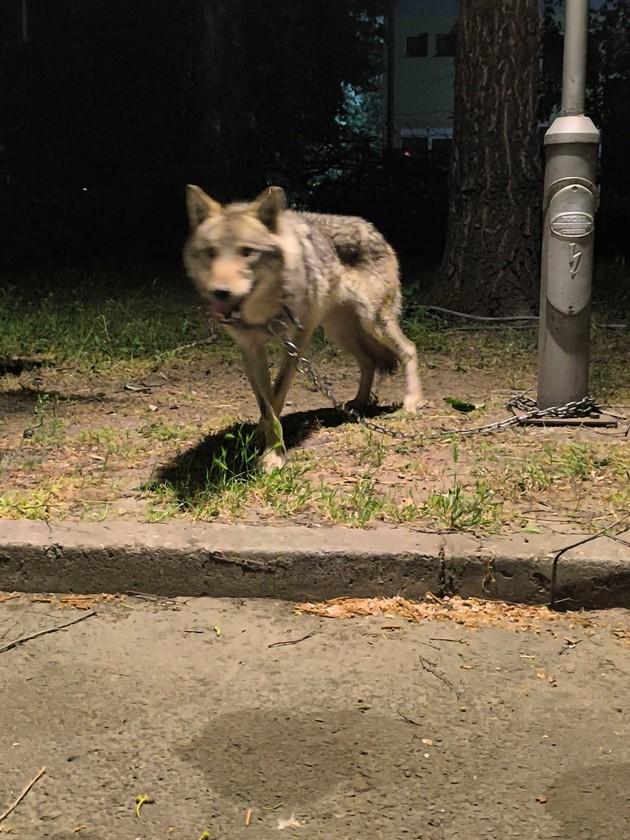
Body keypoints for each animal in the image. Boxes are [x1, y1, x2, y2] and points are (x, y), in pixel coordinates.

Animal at [183, 185, 423, 472]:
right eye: (211, 253)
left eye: (246, 251)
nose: (220, 292)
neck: (266, 309)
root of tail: (372, 228)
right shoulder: (251, 349)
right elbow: (266, 405)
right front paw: (261, 438)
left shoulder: (296, 342)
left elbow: (277, 397)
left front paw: (273, 455)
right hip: (339, 332)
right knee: (369, 362)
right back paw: (359, 403)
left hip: (373, 322)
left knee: (408, 349)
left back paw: (412, 400)